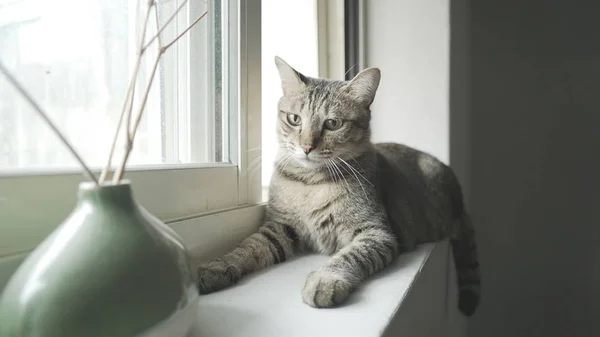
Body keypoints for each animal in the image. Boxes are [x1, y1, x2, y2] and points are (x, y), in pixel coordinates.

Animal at [197, 55, 482, 316]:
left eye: (333, 123)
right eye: (294, 119)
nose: (307, 146)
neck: (311, 184)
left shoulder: (377, 233)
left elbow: (349, 256)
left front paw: (325, 280)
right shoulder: (280, 226)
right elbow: (249, 246)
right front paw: (218, 266)